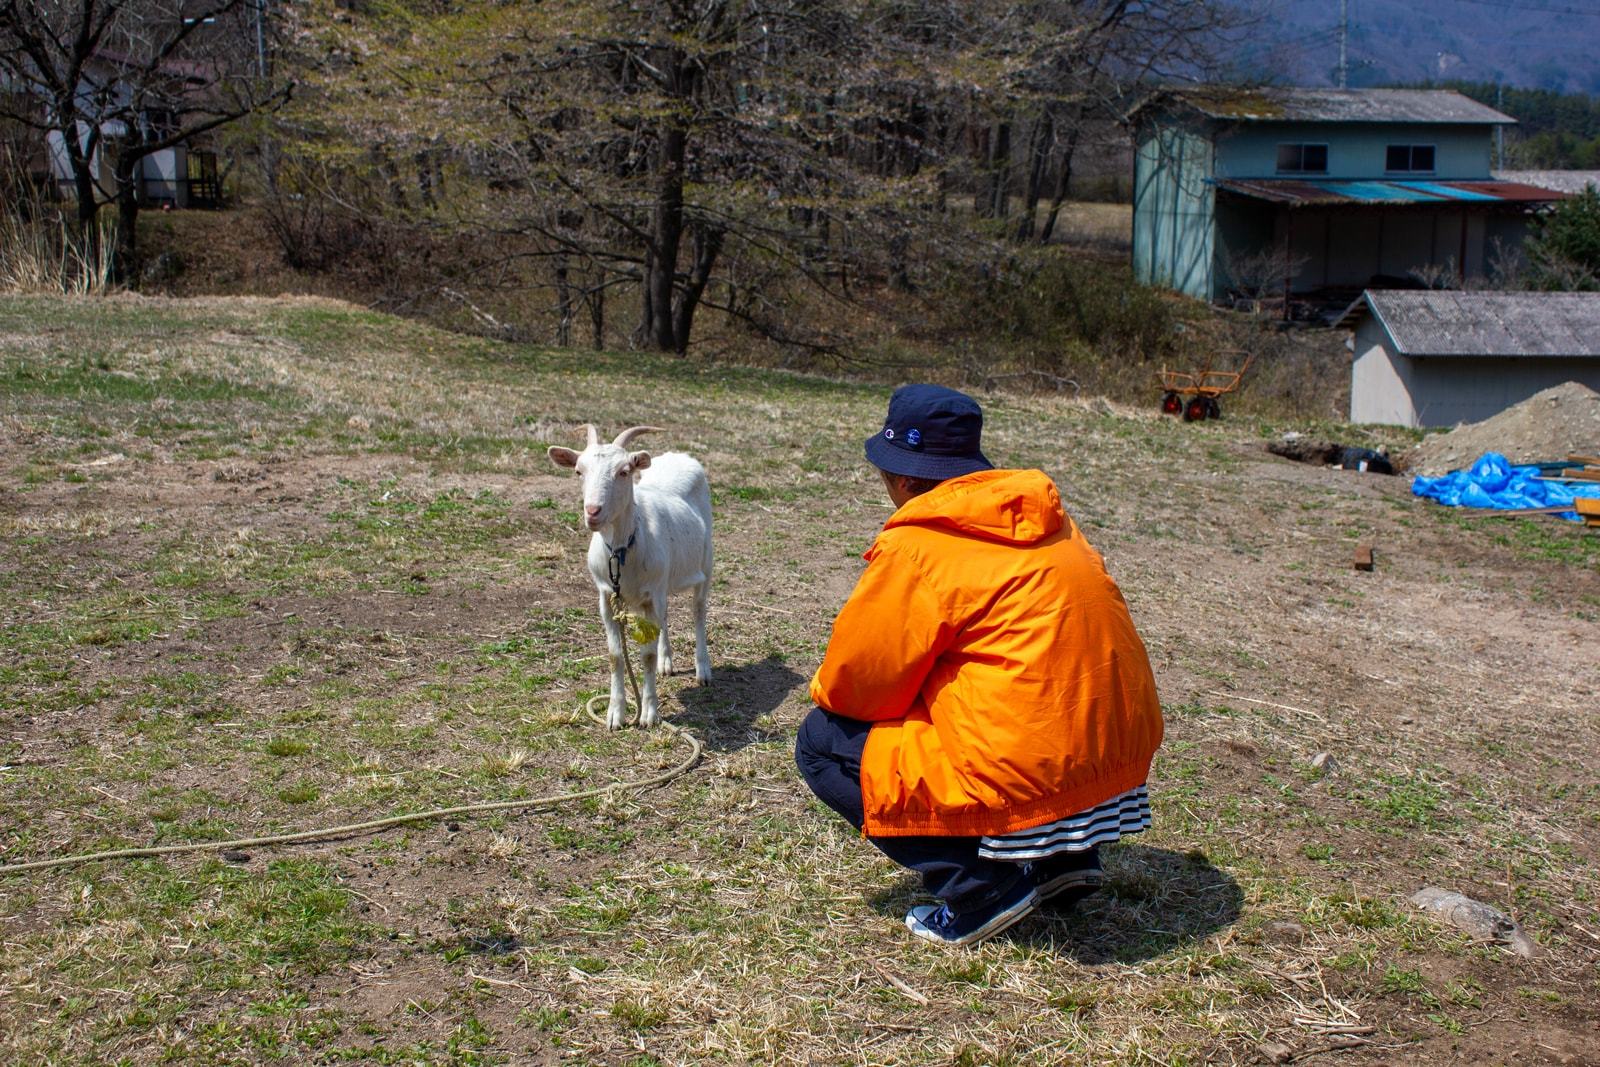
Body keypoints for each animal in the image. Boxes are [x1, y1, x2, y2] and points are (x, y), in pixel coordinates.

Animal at [547, 422, 710, 726]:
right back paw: (667, 662)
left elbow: (646, 656)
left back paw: (703, 670)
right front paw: (615, 714)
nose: (593, 511)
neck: (623, 550)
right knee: (666, 617)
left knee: (698, 611)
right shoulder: (607, 596)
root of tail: (680, 456)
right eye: (579, 471)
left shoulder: (651, 594)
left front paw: (649, 714)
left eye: (623, 471)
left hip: (705, 564)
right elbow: (615, 655)